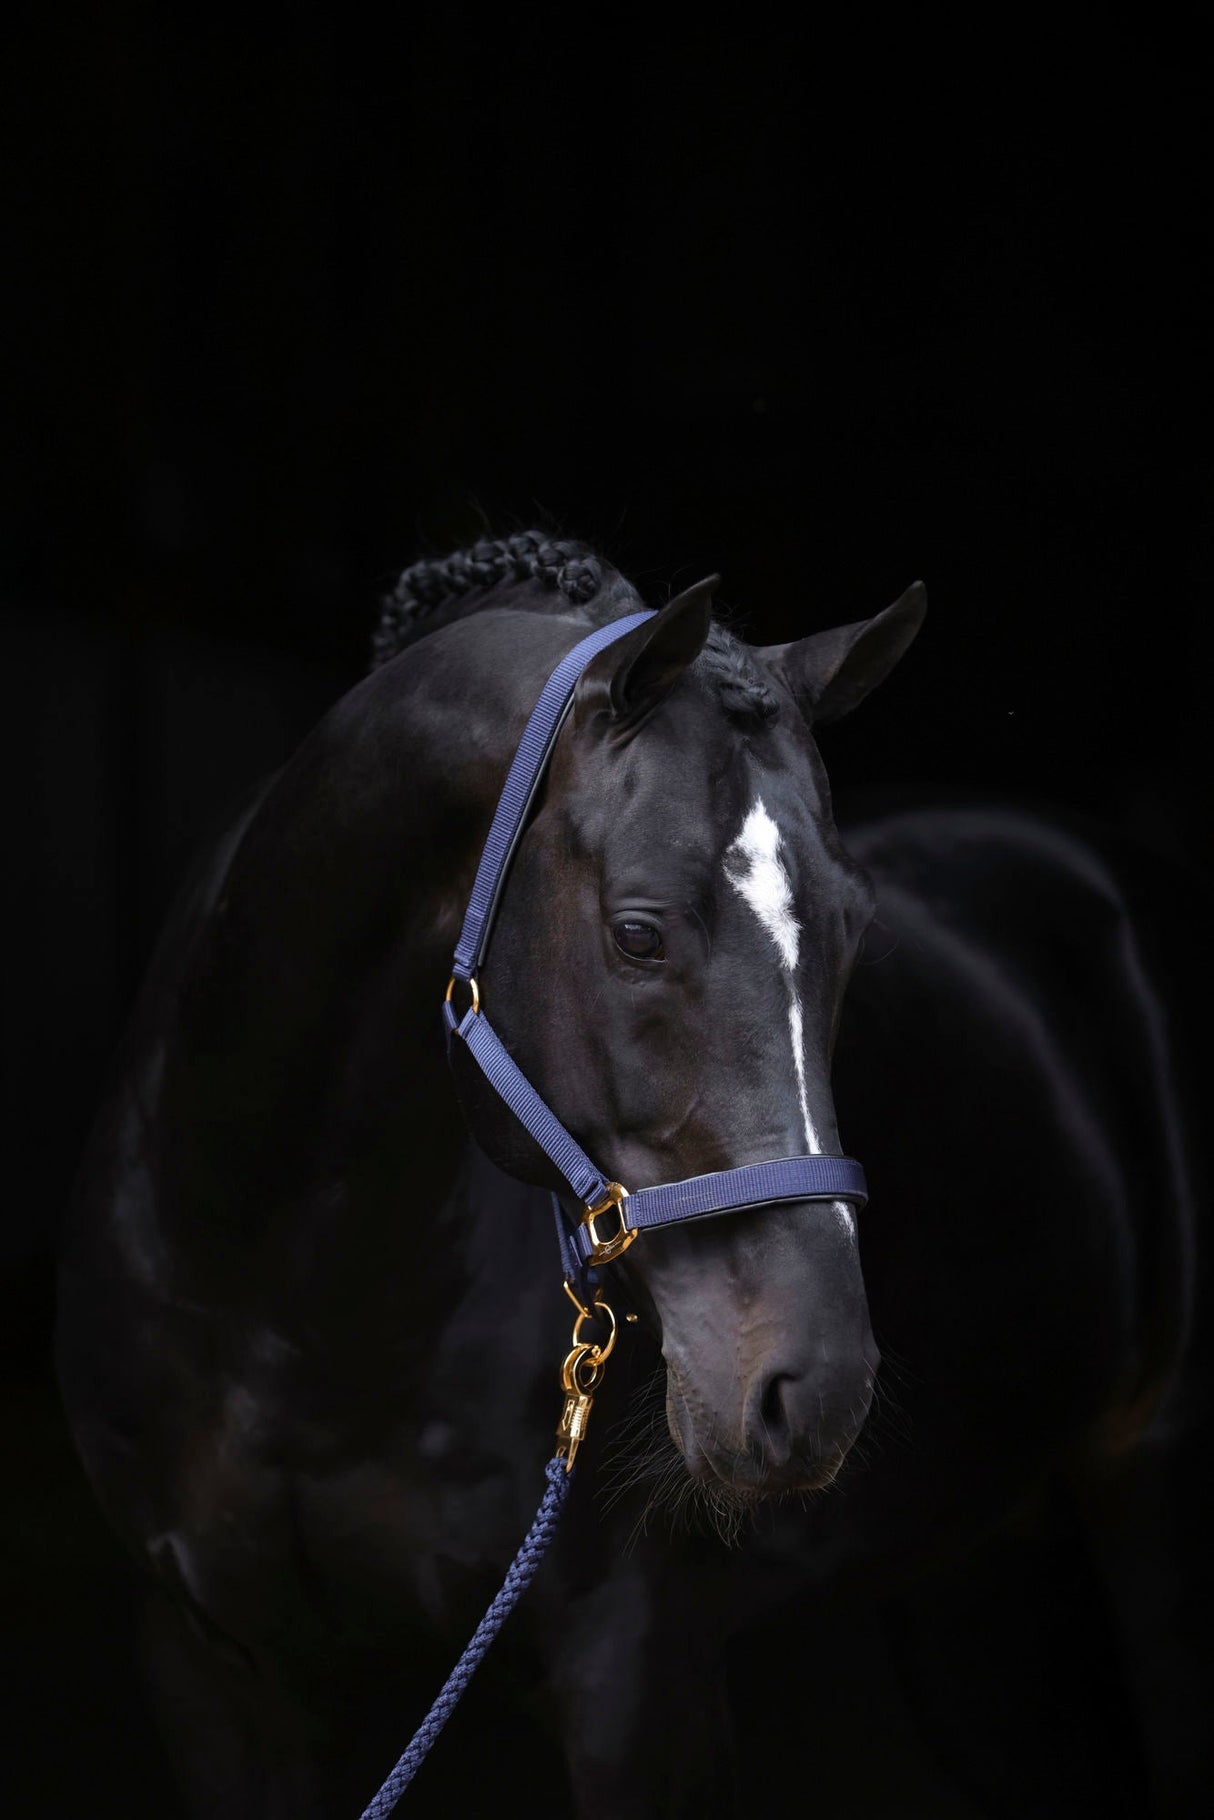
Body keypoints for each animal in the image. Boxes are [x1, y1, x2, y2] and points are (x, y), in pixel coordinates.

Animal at [55, 532, 1205, 1817]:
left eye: (852, 932)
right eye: (638, 933)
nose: (813, 1387)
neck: (287, 1298)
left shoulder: (635, 1673)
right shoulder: (211, 1664)